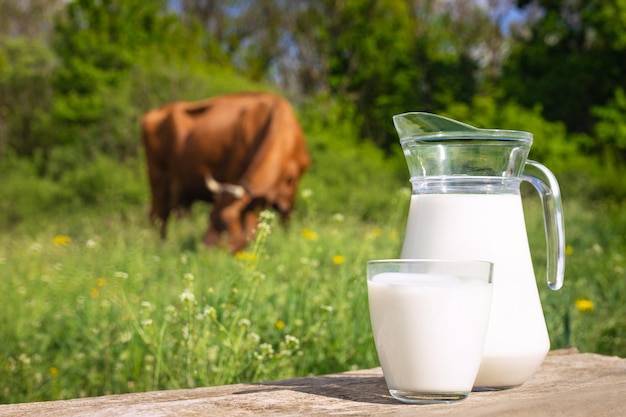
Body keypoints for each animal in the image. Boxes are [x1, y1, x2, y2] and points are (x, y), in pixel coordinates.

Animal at [140, 92, 310, 252]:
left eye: (226, 223)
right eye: (209, 217)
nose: (203, 249)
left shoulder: (291, 191)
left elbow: (285, 221)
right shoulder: (233, 171)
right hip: (157, 177)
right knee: (159, 216)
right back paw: (161, 247)